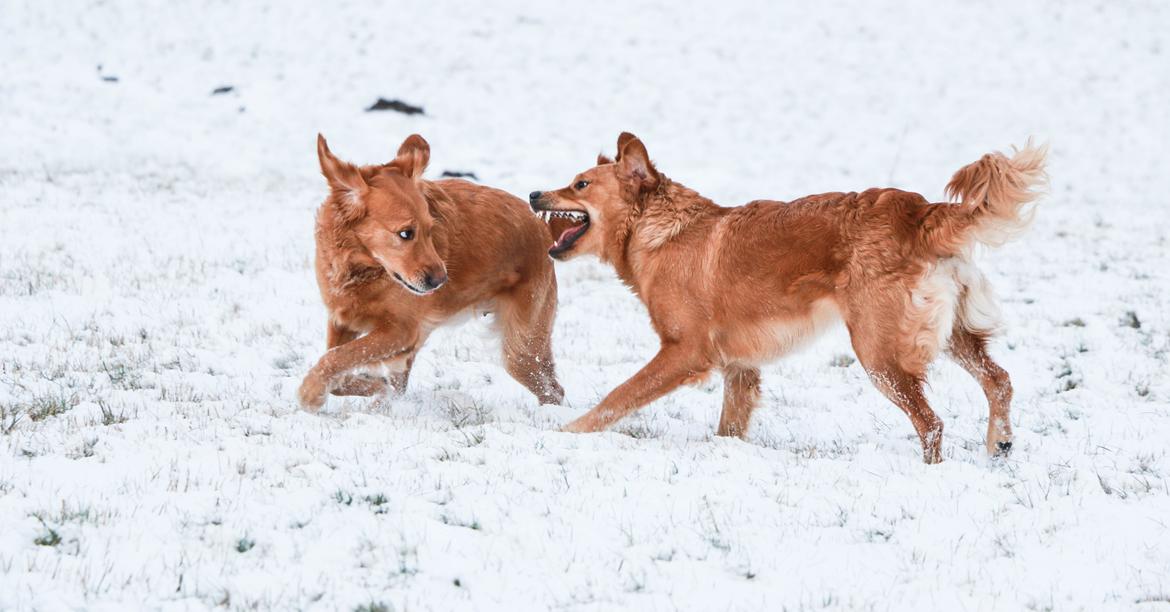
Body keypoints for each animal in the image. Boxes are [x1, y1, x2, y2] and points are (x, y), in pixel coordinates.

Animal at [297, 134, 561, 411]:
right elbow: (338, 369)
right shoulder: (342, 321)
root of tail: (541, 224)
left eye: (430, 229)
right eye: (405, 233)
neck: (362, 267)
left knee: (553, 389)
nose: (440, 281)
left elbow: (336, 357)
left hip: (521, 347)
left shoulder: (401, 331)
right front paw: (373, 389)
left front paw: (310, 392)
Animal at [528, 131, 1043, 463]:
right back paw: (1000, 445)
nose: (533, 194)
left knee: (931, 423)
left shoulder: (684, 352)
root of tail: (917, 211)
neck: (657, 231)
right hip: (953, 334)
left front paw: (567, 432)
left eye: (579, 184)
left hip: (879, 353)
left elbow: (618, 396)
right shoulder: (740, 366)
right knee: (999, 380)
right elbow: (730, 426)